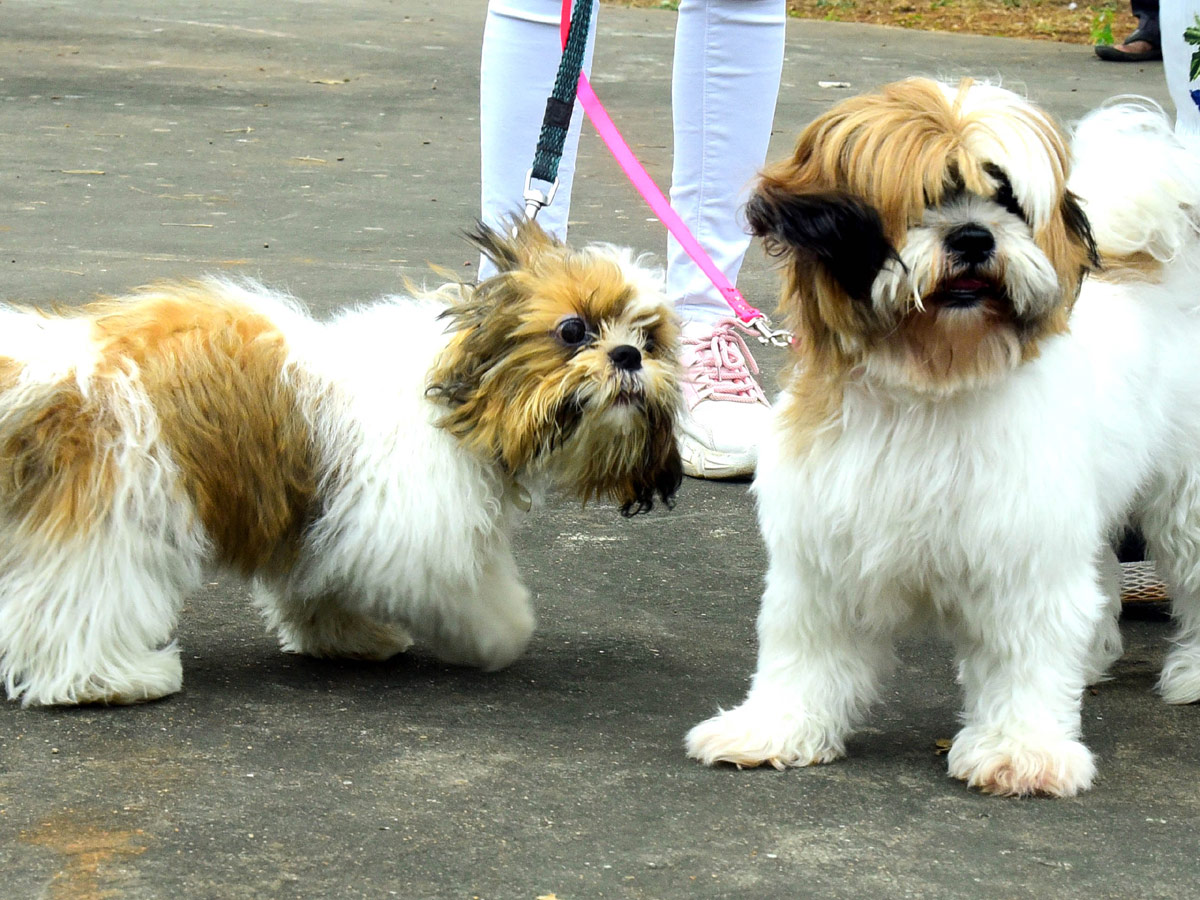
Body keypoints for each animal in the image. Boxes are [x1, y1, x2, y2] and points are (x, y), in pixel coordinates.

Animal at [0, 222, 686, 710]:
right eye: (573, 330)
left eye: (650, 340)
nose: (627, 356)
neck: (455, 390)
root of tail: (56, 364)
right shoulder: (408, 524)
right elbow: (465, 591)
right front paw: (501, 633)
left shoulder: (328, 519)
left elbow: (320, 582)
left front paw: (347, 637)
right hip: (121, 504)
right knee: (80, 607)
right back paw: (114, 679)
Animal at [686, 77, 1200, 796]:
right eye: (925, 199)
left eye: (1007, 201)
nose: (976, 237)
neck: (929, 387)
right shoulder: (826, 548)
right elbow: (804, 650)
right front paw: (774, 728)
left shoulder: (1020, 554)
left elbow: (1024, 654)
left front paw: (1023, 750)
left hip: (1183, 496)